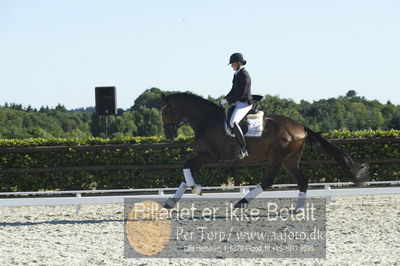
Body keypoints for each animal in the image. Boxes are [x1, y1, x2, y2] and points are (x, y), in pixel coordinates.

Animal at [159, 92, 368, 211]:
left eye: (166, 112)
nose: (169, 135)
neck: (207, 120)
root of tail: (300, 126)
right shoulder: (205, 156)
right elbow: (186, 172)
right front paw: (171, 201)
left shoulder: (211, 156)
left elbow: (186, 167)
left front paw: (197, 189)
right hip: (288, 160)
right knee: (302, 181)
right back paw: (298, 209)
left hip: (276, 156)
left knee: (268, 181)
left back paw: (241, 203)